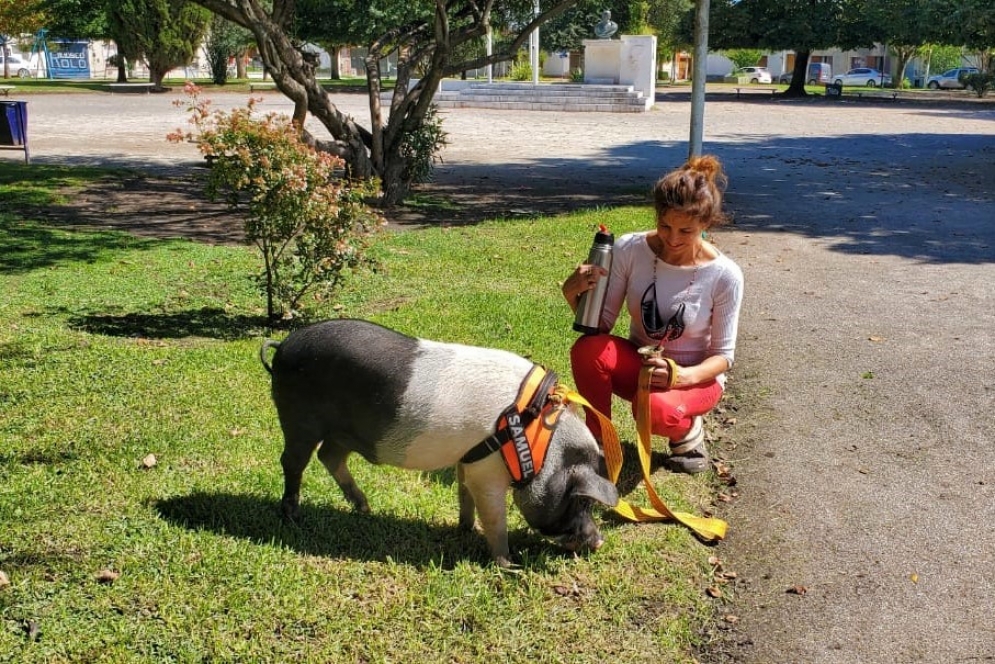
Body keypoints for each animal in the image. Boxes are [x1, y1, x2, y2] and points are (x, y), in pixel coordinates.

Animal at [258, 320, 616, 568]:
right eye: (581, 501)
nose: (599, 542)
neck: (536, 443)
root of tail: (283, 346)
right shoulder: (487, 473)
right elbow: (495, 518)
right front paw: (509, 565)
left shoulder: (468, 461)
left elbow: (464, 495)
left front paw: (465, 529)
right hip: (298, 419)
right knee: (292, 462)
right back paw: (293, 515)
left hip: (342, 432)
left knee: (329, 457)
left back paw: (364, 507)